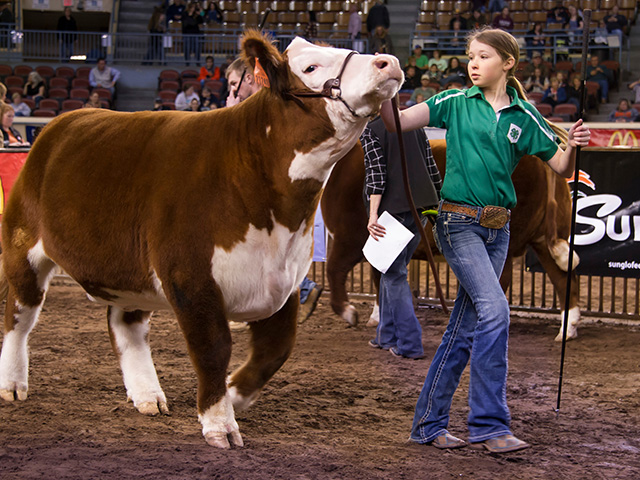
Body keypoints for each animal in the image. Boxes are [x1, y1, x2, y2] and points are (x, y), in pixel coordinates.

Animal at [0, 30, 403, 448]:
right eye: (309, 67)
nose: (387, 61)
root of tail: (65, 120)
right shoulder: (190, 278)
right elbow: (213, 349)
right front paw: (219, 423)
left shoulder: (285, 280)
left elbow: (276, 349)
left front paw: (235, 393)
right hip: (22, 245)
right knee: (19, 314)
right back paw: (12, 383)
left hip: (129, 270)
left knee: (125, 324)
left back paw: (147, 394)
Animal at [322, 138, 581, 341]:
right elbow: (379, 277)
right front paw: (377, 317)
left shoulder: (350, 236)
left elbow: (335, 269)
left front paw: (348, 311)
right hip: (545, 239)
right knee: (563, 277)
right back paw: (567, 329)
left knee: (502, 279)